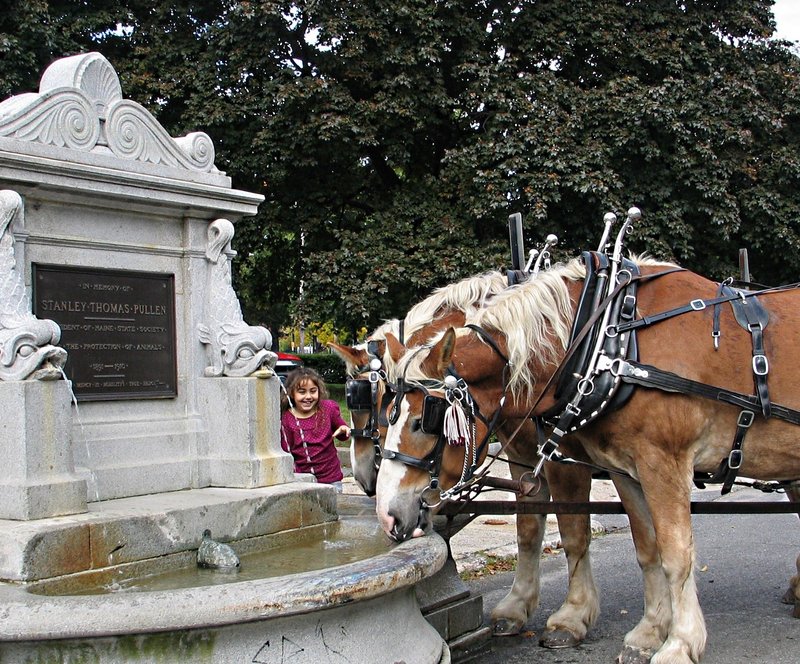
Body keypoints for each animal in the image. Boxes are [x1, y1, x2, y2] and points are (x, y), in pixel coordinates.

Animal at [330, 268, 600, 644]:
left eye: (371, 400)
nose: (363, 475)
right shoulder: (523, 461)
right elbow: (528, 529)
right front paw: (517, 607)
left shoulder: (564, 463)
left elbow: (575, 532)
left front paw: (572, 617)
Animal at [378, 256, 800, 664]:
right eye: (387, 412)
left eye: (423, 421)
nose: (387, 514)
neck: (611, 343)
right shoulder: (623, 469)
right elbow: (643, 547)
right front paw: (648, 632)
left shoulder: (655, 462)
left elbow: (668, 552)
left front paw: (677, 642)